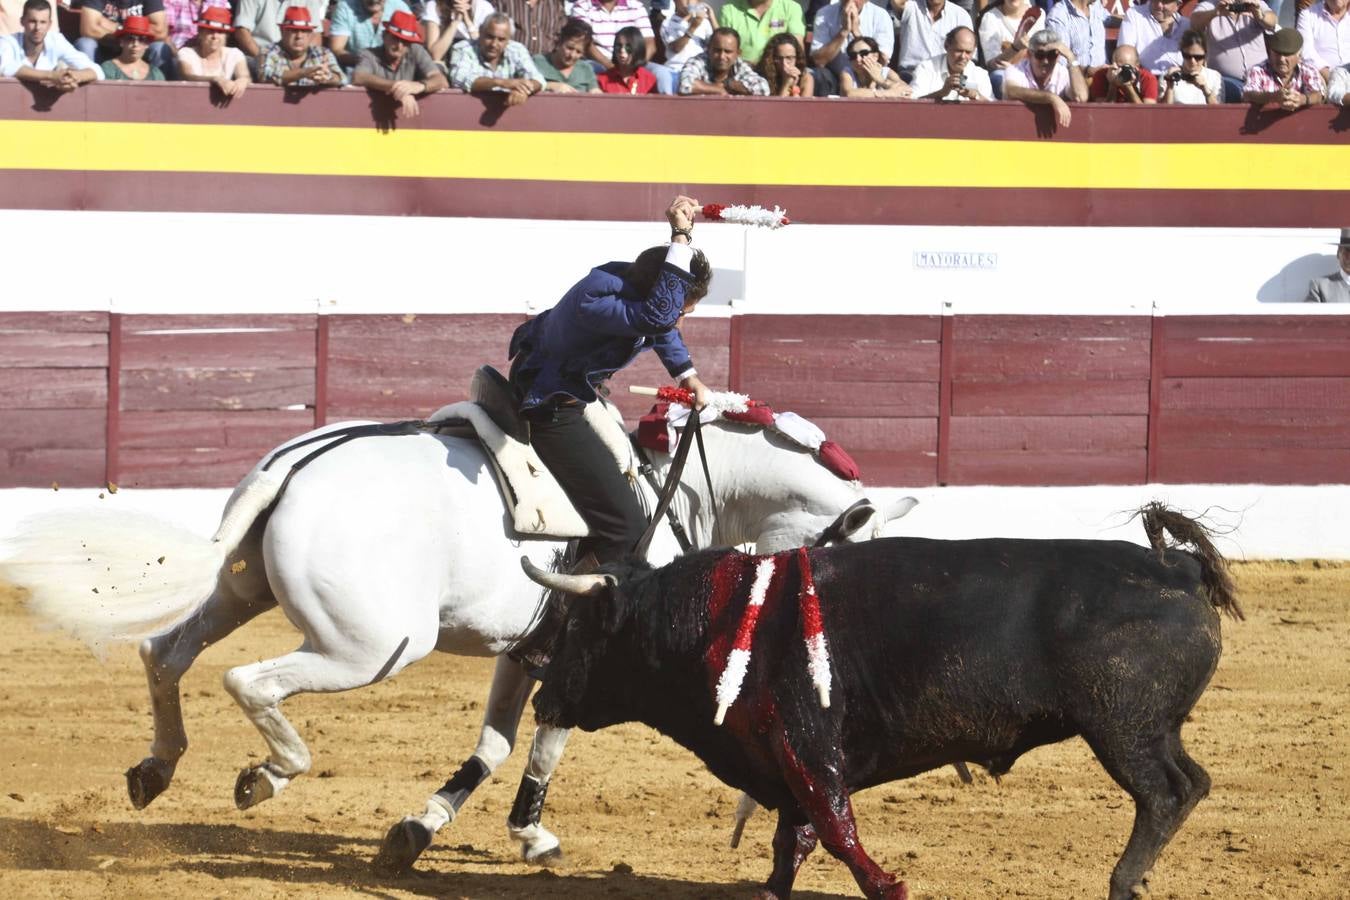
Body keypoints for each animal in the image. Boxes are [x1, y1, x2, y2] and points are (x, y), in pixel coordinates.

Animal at [0, 418, 912, 874]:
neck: (679, 486)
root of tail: (297, 466)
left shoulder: (526, 648)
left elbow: (503, 742)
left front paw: (429, 825)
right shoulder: (586, 653)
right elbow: (547, 740)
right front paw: (522, 833)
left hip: (239, 588)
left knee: (165, 655)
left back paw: (155, 769)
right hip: (375, 645)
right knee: (247, 681)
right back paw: (266, 775)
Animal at [521, 507, 1236, 900]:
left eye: (577, 627)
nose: (541, 696)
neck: (721, 619)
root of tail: (1175, 567)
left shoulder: (807, 746)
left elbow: (837, 832)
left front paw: (892, 886)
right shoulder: (788, 762)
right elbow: (793, 842)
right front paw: (770, 892)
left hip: (1123, 730)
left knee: (1164, 794)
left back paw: (1122, 881)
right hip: (1153, 730)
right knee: (1191, 782)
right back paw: (1136, 879)